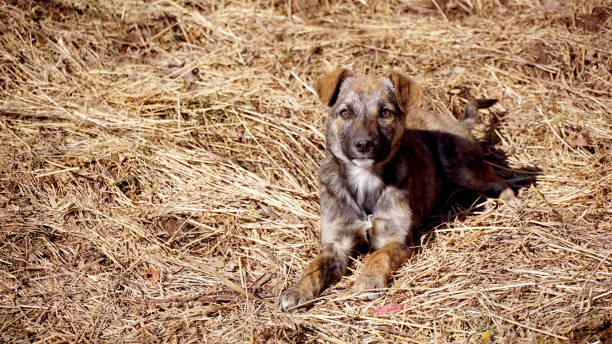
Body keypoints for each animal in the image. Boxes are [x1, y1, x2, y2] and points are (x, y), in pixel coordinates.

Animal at [278, 68, 520, 310]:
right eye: (345, 113)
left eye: (385, 113)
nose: (363, 145)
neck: (365, 179)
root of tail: (458, 122)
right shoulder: (336, 244)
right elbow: (314, 267)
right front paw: (297, 290)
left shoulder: (396, 240)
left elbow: (377, 257)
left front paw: (368, 281)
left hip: (461, 168)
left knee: (498, 180)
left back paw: (511, 204)